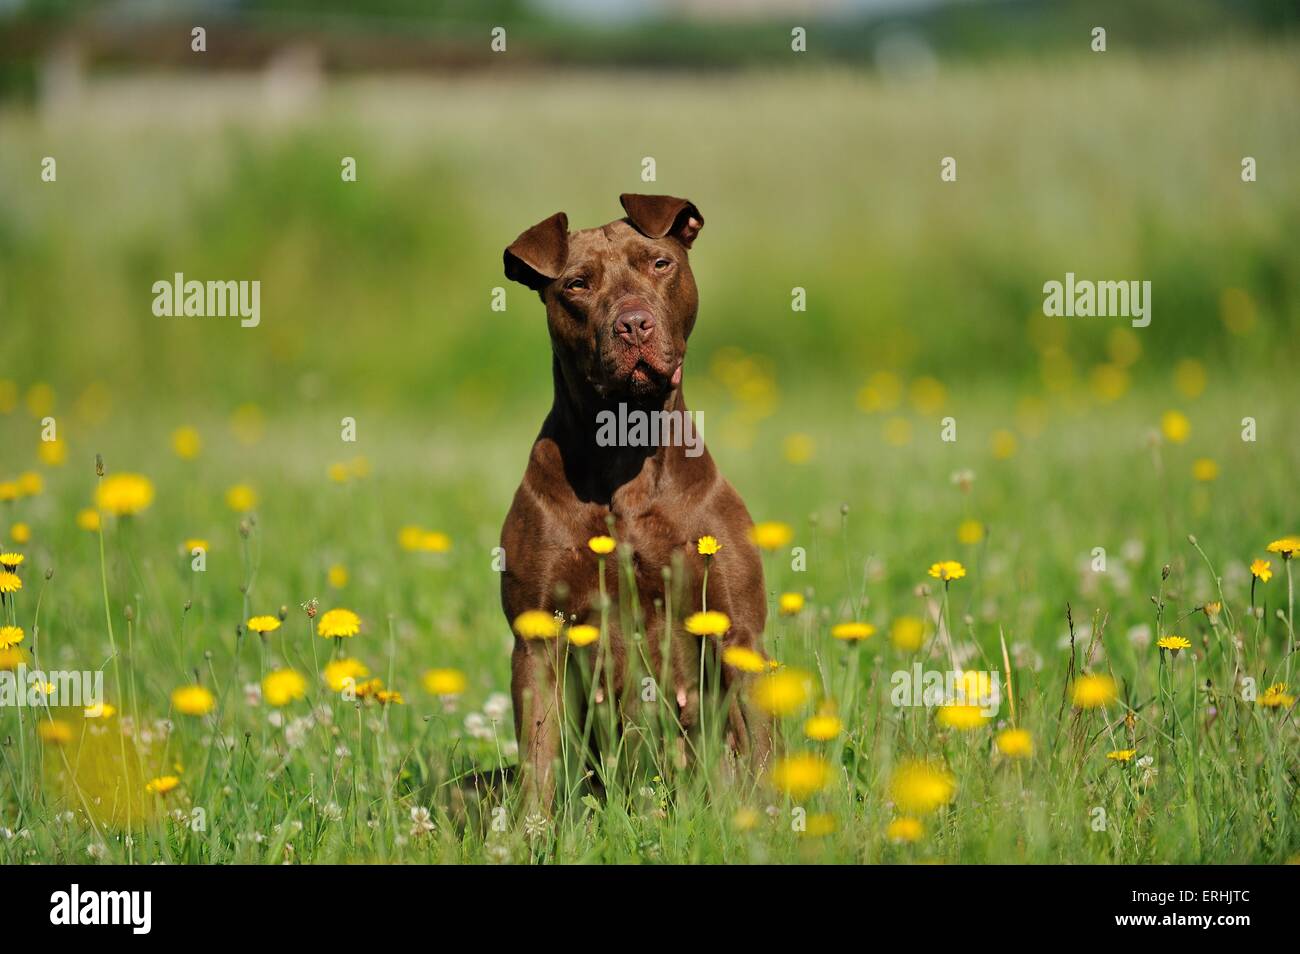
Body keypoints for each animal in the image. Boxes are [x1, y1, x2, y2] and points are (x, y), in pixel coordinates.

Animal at [496, 194, 764, 805]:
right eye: (576, 284)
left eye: (660, 264)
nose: (633, 323)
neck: (625, 449)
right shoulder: (538, 639)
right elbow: (538, 763)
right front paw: (530, 828)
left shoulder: (738, 630)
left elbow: (765, 750)